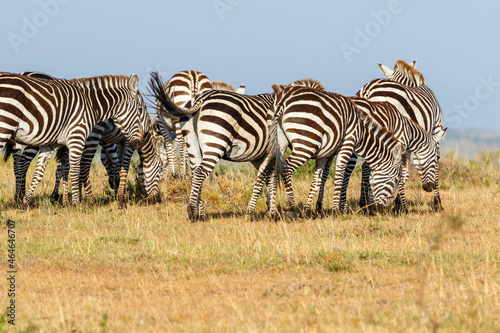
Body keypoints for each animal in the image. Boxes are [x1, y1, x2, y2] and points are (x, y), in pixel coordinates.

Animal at [0, 71, 147, 204]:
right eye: (140, 109)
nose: (138, 143)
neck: (91, 105)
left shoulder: (51, 144)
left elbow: (40, 172)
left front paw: (26, 201)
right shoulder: (77, 137)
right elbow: (76, 170)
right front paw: (77, 202)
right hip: (5, 127)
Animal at [149, 71, 274, 222]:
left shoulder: (261, 155)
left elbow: (268, 177)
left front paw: (270, 208)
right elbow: (266, 177)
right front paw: (265, 210)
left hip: (194, 138)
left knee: (194, 171)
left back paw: (198, 211)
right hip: (211, 141)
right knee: (198, 171)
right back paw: (193, 210)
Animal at [256, 79, 408, 217]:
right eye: (395, 180)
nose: (387, 209)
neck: (361, 132)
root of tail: (283, 100)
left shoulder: (324, 154)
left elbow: (317, 181)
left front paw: (308, 209)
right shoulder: (347, 145)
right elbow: (339, 177)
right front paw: (337, 211)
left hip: (279, 142)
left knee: (272, 169)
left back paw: (273, 212)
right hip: (306, 143)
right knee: (286, 168)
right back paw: (293, 207)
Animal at [350, 59, 448, 210]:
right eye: (437, 157)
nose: (429, 188)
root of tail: (368, 90)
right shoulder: (432, 132)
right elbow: (407, 172)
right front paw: (437, 202)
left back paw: (364, 203)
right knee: (369, 166)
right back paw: (369, 204)